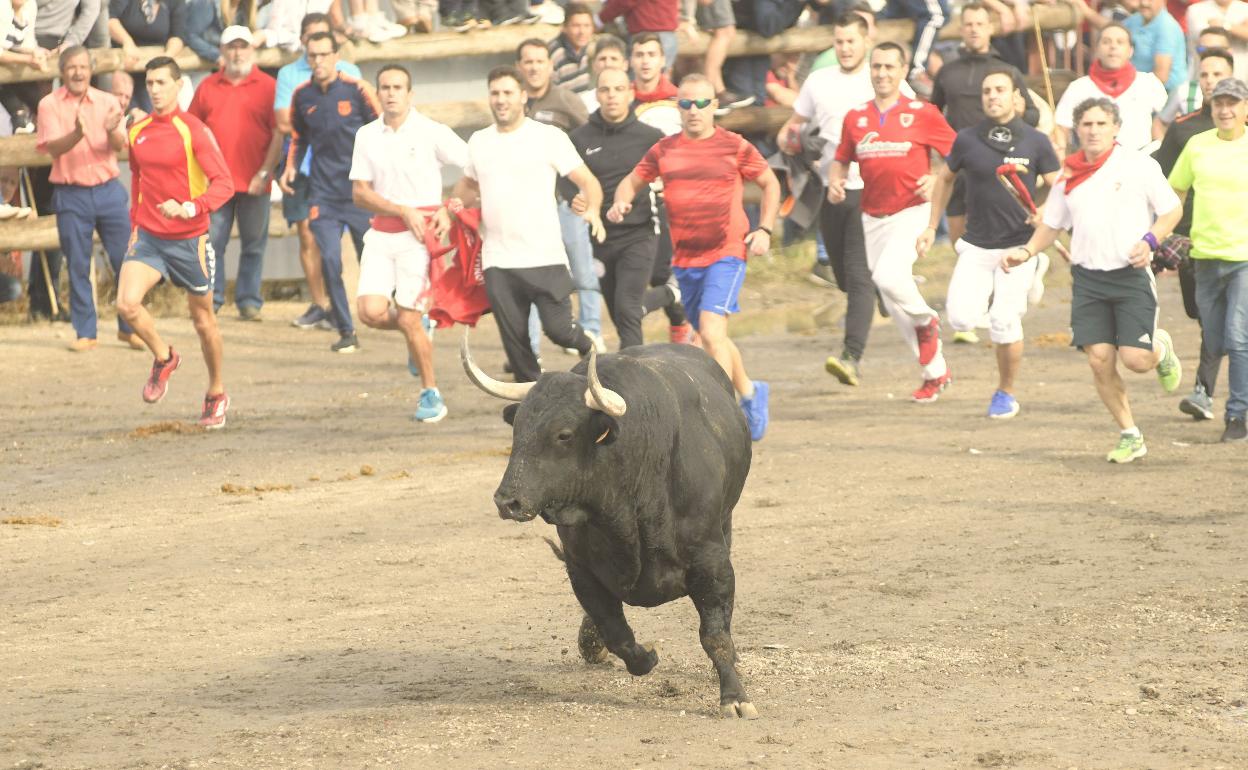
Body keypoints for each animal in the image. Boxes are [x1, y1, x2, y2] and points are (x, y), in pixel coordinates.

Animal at [464, 339, 753, 718]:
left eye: (564, 434)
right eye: (517, 429)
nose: (506, 501)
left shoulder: (712, 561)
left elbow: (715, 635)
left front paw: (734, 697)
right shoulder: (581, 569)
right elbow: (617, 633)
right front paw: (644, 656)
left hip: (726, 525)